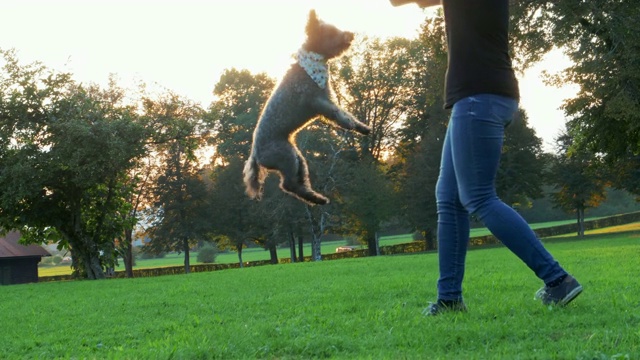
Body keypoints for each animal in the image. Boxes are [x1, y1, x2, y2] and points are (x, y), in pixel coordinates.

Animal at [242, 9, 370, 205]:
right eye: (331, 32)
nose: (350, 34)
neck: (312, 65)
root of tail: (255, 155)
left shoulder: (327, 98)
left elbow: (345, 113)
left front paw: (362, 127)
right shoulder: (319, 102)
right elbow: (339, 115)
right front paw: (351, 126)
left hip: (297, 159)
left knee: (296, 183)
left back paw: (316, 198)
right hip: (287, 157)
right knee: (288, 185)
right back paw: (318, 199)